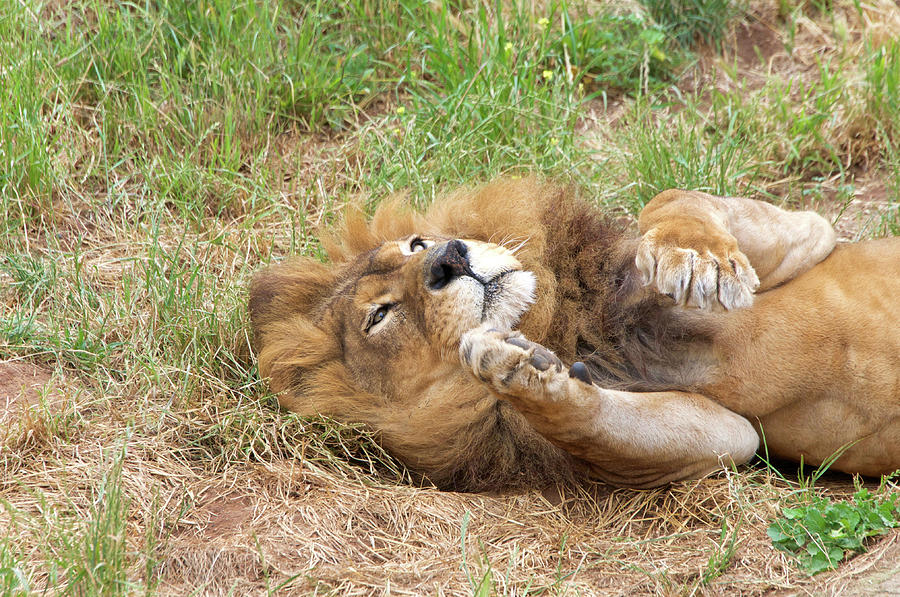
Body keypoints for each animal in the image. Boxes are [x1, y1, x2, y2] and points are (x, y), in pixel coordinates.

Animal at [250, 177, 900, 488]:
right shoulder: (728, 437)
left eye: (415, 244)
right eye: (379, 316)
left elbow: (674, 200)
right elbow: (600, 421)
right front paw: (524, 376)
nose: (449, 257)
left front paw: (698, 257)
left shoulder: (811, 237)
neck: (564, 326)